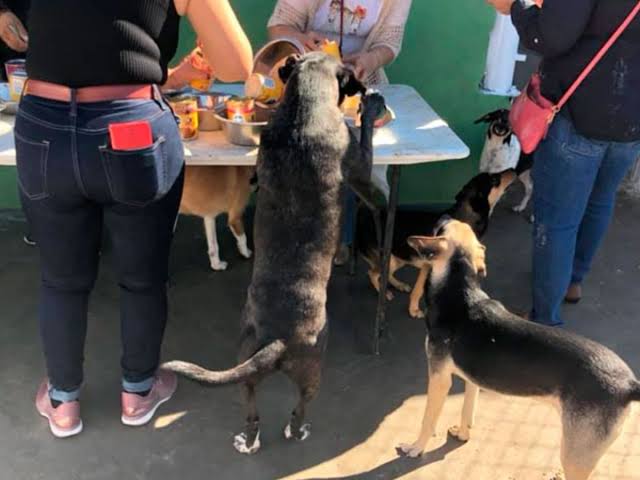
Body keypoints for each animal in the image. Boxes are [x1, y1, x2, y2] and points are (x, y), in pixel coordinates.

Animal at [164, 52, 385, 454]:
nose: (364, 88)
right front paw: (370, 108)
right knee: (300, 407)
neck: (305, 111)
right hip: (313, 372)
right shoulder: (360, 166)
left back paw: (248, 439)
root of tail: (278, 340)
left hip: (246, 369)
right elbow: (364, 135)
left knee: (251, 412)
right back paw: (297, 430)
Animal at [355, 169, 516, 318]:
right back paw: (384, 291)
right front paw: (414, 311)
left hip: (398, 257)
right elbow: (418, 290)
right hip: (391, 258)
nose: (514, 169)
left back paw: (399, 285)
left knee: (384, 273)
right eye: (495, 179)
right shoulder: (428, 265)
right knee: (373, 273)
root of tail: (364, 214)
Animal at [397, 219, 640, 480]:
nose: (441, 216)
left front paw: (416, 448)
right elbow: (467, 410)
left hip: (575, 455)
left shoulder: (439, 379)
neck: (461, 293)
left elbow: (427, 420)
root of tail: (629, 385)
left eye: (442, 228)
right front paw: (463, 434)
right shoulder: (472, 379)